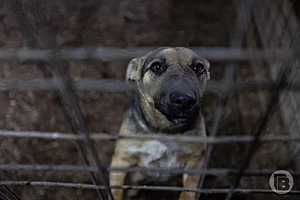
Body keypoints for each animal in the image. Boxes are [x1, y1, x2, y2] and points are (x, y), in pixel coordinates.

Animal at [109, 47, 210, 200]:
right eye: (156, 67)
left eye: (198, 67)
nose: (184, 100)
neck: (163, 130)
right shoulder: (121, 160)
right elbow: (116, 191)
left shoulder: (195, 161)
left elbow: (188, 192)